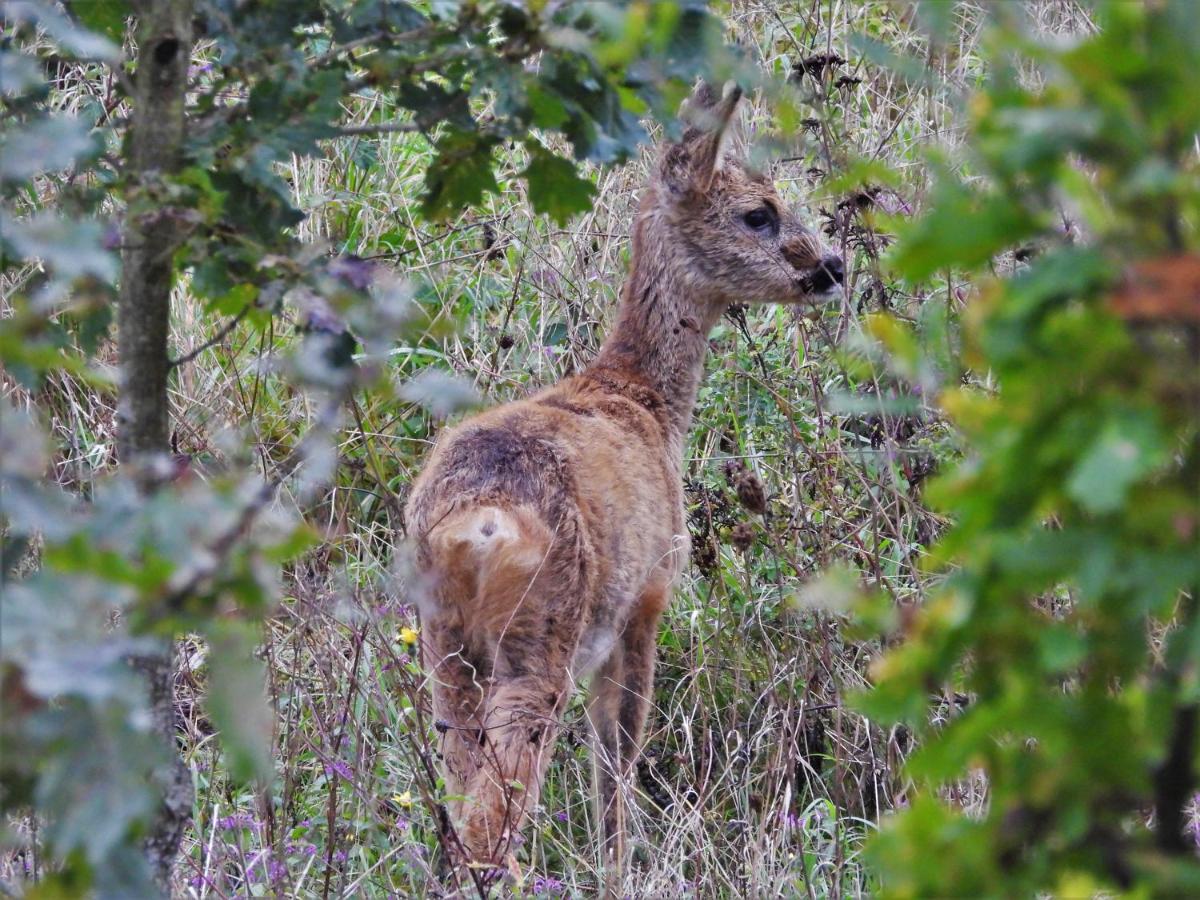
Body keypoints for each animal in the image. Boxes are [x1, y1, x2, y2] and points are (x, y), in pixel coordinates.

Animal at [408, 81, 840, 892]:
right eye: (759, 213)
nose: (832, 265)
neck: (642, 401)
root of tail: (477, 522)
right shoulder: (649, 595)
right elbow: (619, 758)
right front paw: (621, 871)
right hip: (543, 629)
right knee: (496, 812)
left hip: (444, 645)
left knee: (460, 784)